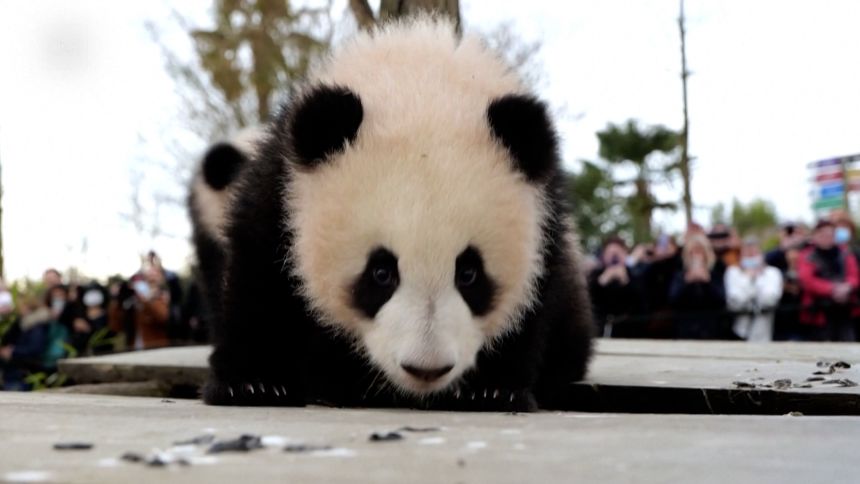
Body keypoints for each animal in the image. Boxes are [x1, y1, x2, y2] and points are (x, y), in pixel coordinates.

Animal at [203, 17, 593, 412]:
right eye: (380, 272)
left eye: (469, 273)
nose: (426, 369)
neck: (418, 82)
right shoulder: (284, 191)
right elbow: (259, 280)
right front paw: (252, 384)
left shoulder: (547, 217)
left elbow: (531, 305)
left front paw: (493, 391)